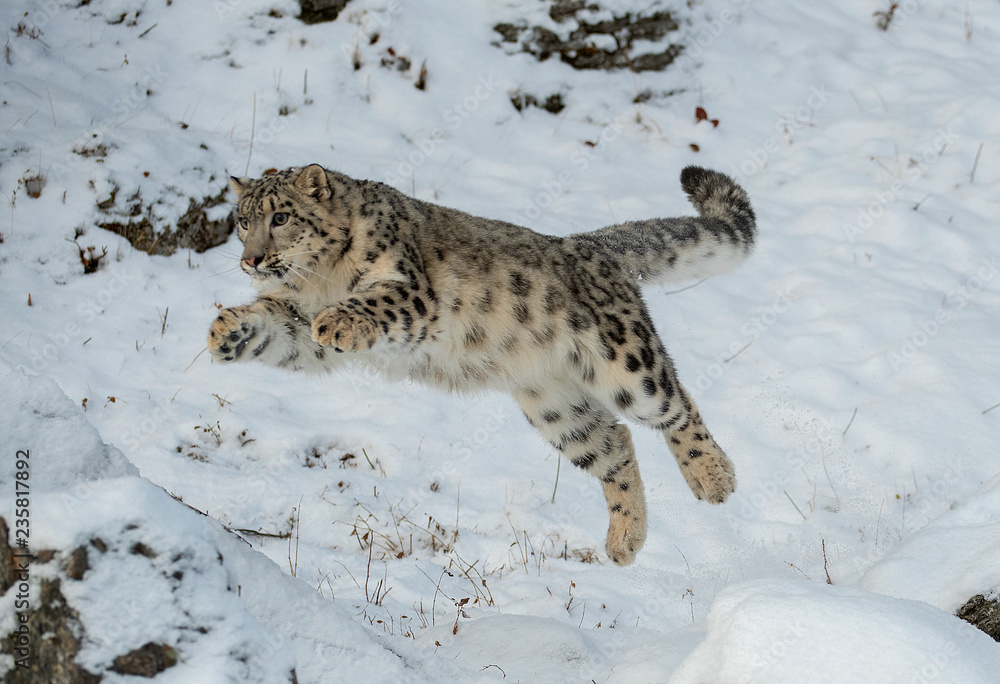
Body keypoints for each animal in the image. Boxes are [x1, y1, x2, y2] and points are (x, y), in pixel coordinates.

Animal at [208, 163, 756, 566]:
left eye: (281, 218)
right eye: (243, 221)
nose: (252, 260)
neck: (318, 283)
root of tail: (589, 244)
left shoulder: (412, 295)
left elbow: (372, 303)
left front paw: (338, 319)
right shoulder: (295, 319)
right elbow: (276, 328)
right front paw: (226, 331)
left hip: (625, 362)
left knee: (675, 403)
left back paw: (714, 479)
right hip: (557, 409)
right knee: (616, 443)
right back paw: (625, 540)